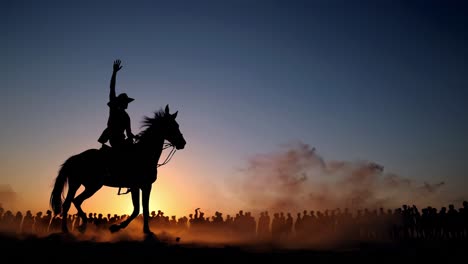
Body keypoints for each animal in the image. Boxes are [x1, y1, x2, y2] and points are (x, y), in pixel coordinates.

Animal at [49, 104, 185, 235]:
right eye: (172, 126)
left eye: (177, 125)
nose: (183, 143)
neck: (144, 153)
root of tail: (74, 158)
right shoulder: (138, 186)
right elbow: (138, 209)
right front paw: (117, 227)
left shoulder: (144, 186)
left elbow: (144, 209)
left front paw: (145, 230)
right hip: (92, 185)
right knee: (76, 201)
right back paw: (79, 227)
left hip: (77, 184)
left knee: (69, 203)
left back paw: (69, 229)